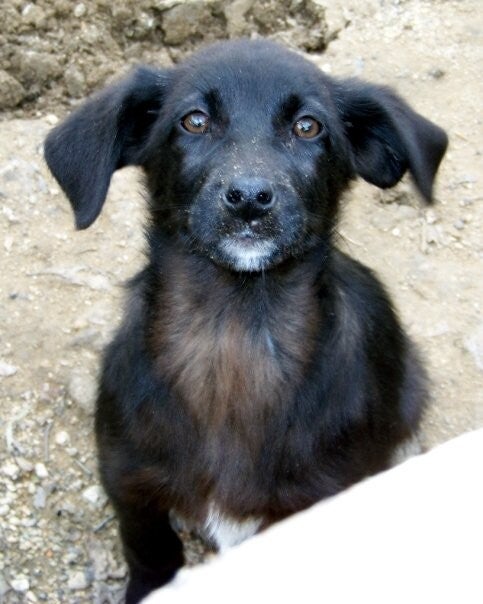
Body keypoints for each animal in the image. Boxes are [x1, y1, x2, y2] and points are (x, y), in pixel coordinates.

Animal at [44, 39, 448, 603]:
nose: (251, 198)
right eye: (194, 121)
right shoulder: (128, 481)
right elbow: (149, 551)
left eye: (308, 126)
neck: (232, 331)